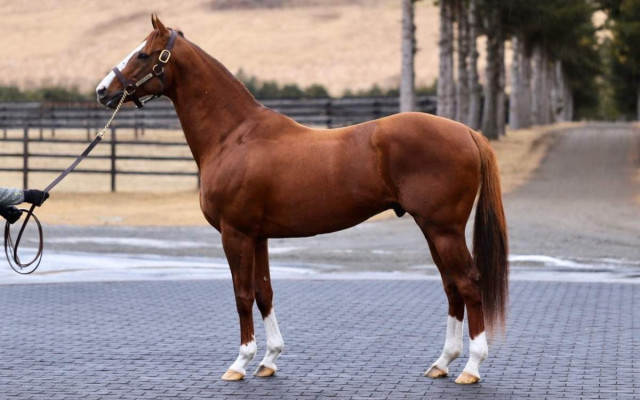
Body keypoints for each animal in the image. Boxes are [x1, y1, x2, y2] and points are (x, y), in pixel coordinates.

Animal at [96, 15, 508, 384]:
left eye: (144, 54)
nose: (102, 91)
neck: (234, 136)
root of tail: (468, 132)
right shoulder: (257, 235)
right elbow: (264, 292)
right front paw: (269, 360)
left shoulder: (235, 233)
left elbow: (242, 295)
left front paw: (240, 363)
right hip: (432, 229)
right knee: (452, 286)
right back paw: (442, 362)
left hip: (444, 230)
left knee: (469, 282)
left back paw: (471, 368)